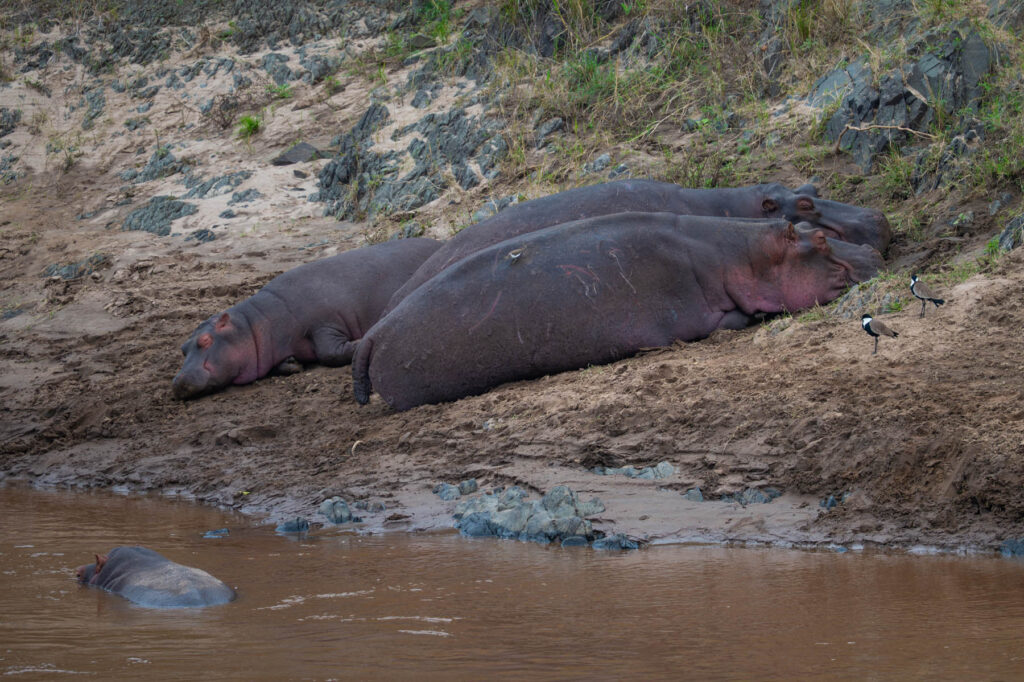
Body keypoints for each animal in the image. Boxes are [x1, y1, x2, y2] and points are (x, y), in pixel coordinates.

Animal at [172, 237, 441, 399]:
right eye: (183, 348)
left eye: (206, 340)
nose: (177, 382)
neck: (257, 323)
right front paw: (292, 364)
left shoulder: (325, 322)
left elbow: (329, 352)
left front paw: (359, 341)